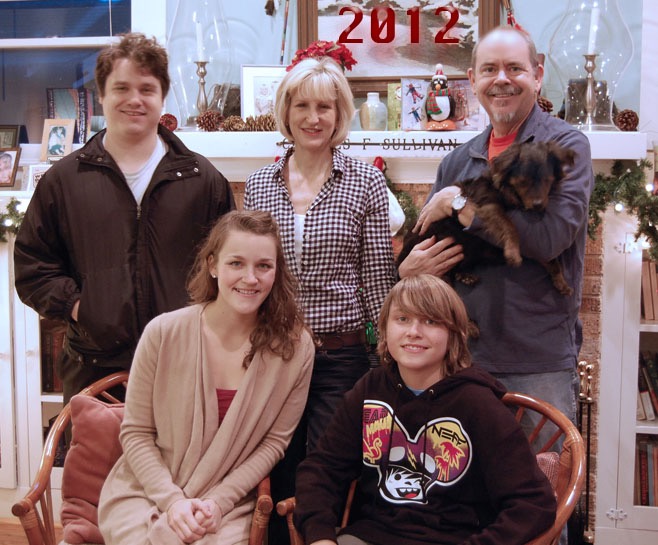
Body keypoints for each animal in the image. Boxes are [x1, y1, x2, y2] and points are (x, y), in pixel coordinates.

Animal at [394, 138, 576, 296]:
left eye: (547, 180)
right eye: (523, 182)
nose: (538, 205)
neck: (508, 192)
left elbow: (549, 259)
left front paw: (561, 281)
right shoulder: (488, 206)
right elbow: (509, 226)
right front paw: (513, 251)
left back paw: (464, 275)